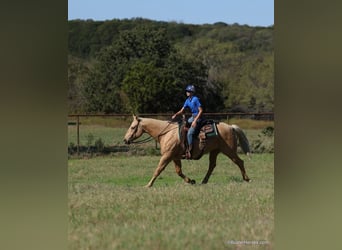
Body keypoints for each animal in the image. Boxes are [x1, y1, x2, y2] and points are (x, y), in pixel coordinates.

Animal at [123, 115, 251, 188]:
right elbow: (178, 171)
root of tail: (230, 127)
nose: (125, 140)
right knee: (212, 166)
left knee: (239, 162)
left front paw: (148, 185)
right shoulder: (175, 157)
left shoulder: (167, 156)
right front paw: (191, 181)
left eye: (133, 127)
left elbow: (158, 170)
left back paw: (246, 179)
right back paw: (203, 181)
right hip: (215, 151)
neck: (167, 133)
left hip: (229, 151)